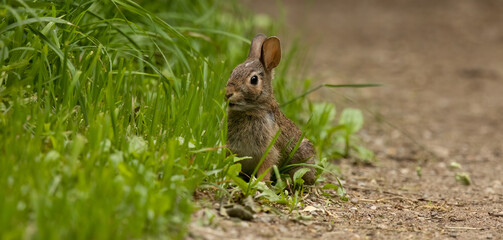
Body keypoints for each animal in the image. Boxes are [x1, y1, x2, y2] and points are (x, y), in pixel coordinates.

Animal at [227, 32, 316, 185]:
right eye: (233, 71)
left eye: (254, 79)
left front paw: (261, 183)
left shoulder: (269, 151)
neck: (249, 111)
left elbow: (266, 167)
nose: (228, 93)